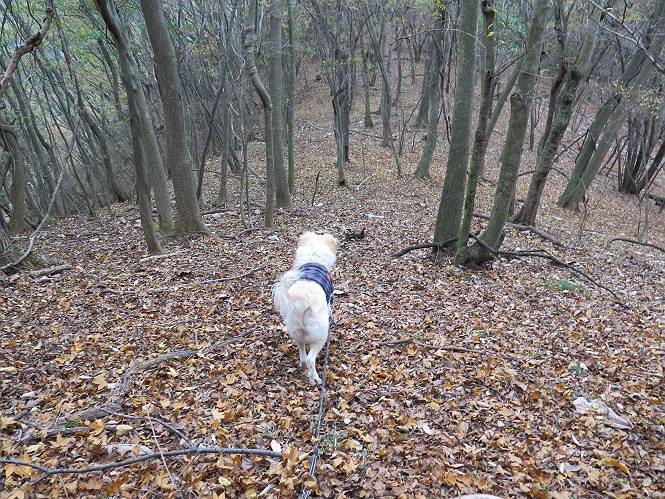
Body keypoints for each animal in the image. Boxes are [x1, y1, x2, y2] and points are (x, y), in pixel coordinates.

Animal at [272, 232, 337, 385]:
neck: (313, 258)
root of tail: (301, 300)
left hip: (295, 331)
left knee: (301, 349)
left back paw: (302, 364)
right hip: (320, 335)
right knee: (310, 359)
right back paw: (315, 379)